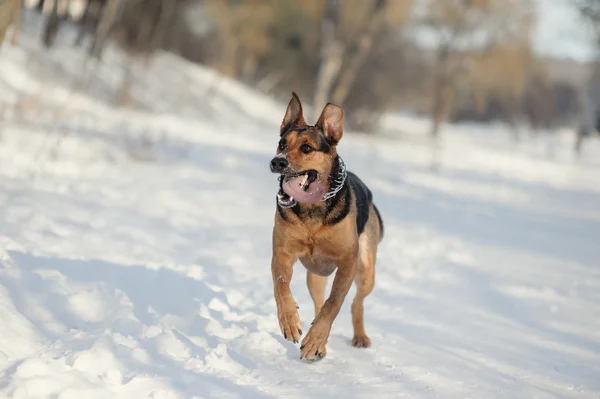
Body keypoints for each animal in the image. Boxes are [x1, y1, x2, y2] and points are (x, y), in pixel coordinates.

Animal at [268, 92, 382, 360]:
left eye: (307, 148)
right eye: (281, 143)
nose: (277, 162)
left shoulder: (347, 263)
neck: (312, 212)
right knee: (319, 301)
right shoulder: (282, 253)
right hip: (315, 275)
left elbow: (334, 304)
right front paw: (290, 322)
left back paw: (357, 337)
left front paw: (315, 339)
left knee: (356, 303)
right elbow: (281, 286)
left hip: (366, 268)